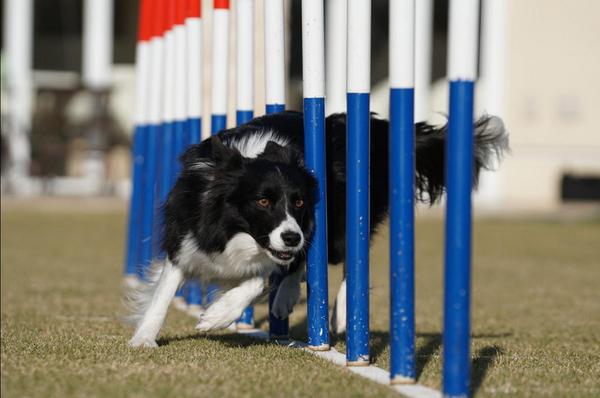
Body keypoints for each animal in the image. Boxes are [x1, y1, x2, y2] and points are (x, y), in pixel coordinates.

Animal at [127, 110, 506, 346]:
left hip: (339, 222)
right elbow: (163, 293)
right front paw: (143, 338)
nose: (290, 235)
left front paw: (216, 316)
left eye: (298, 202)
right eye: (262, 201)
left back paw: (337, 311)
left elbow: (257, 281)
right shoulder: (186, 239)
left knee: (343, 257)